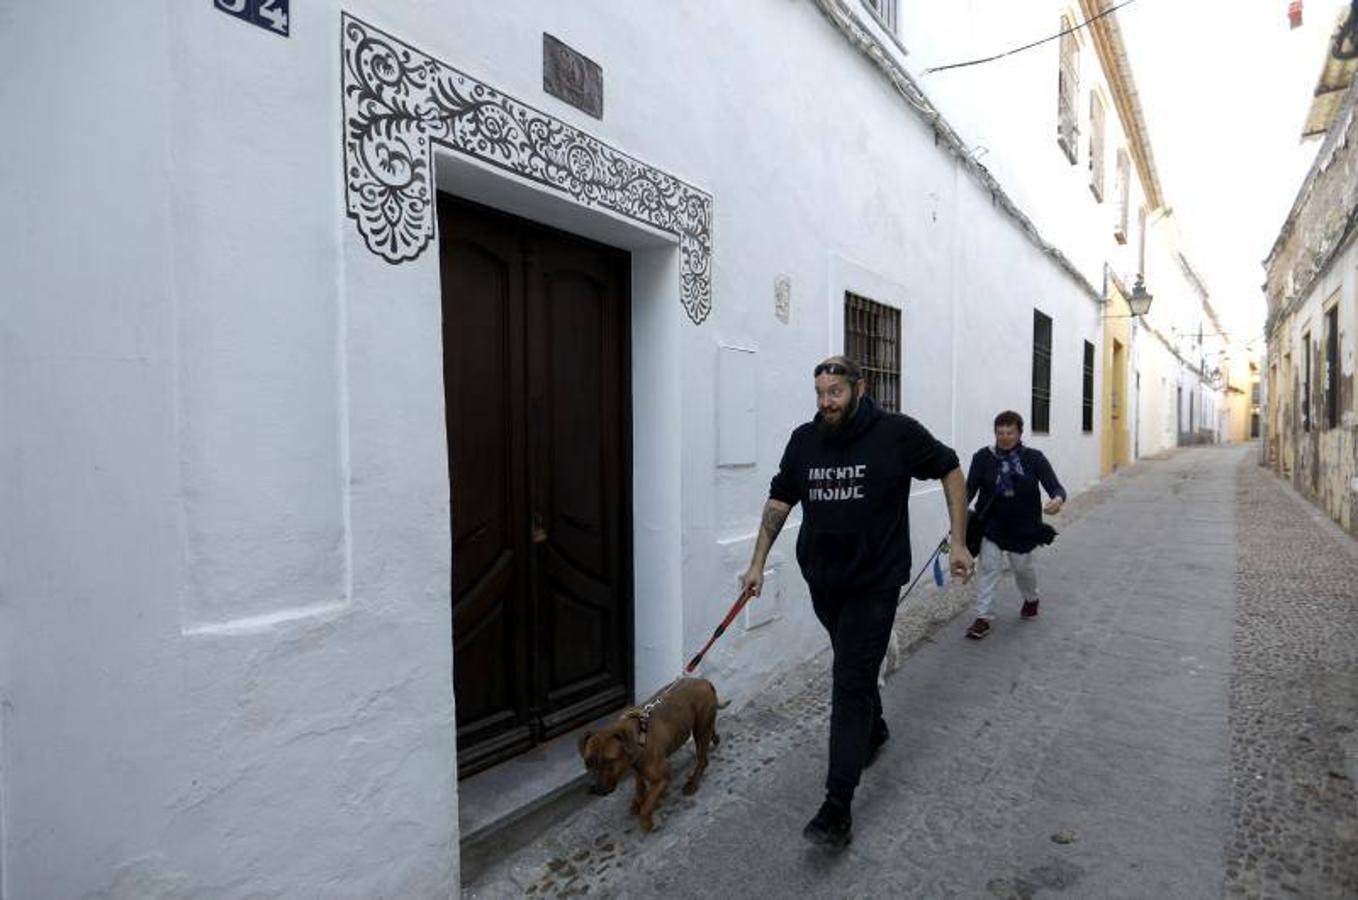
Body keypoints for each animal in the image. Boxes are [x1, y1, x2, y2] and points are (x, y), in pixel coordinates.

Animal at [575, 678, 722, 836]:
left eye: (609, 761)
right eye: (588, 762)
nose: (595, 789)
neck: (638, 738)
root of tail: (703, 681)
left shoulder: (663, 778)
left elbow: (647, 804)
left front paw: (646, 822)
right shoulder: (637, 766)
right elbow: (639, 785)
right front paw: (639, 800)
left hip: (700, 729)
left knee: (703, 759)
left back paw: (693, 782)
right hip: (703, 725)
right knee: (710, 729)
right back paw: (715, 738)